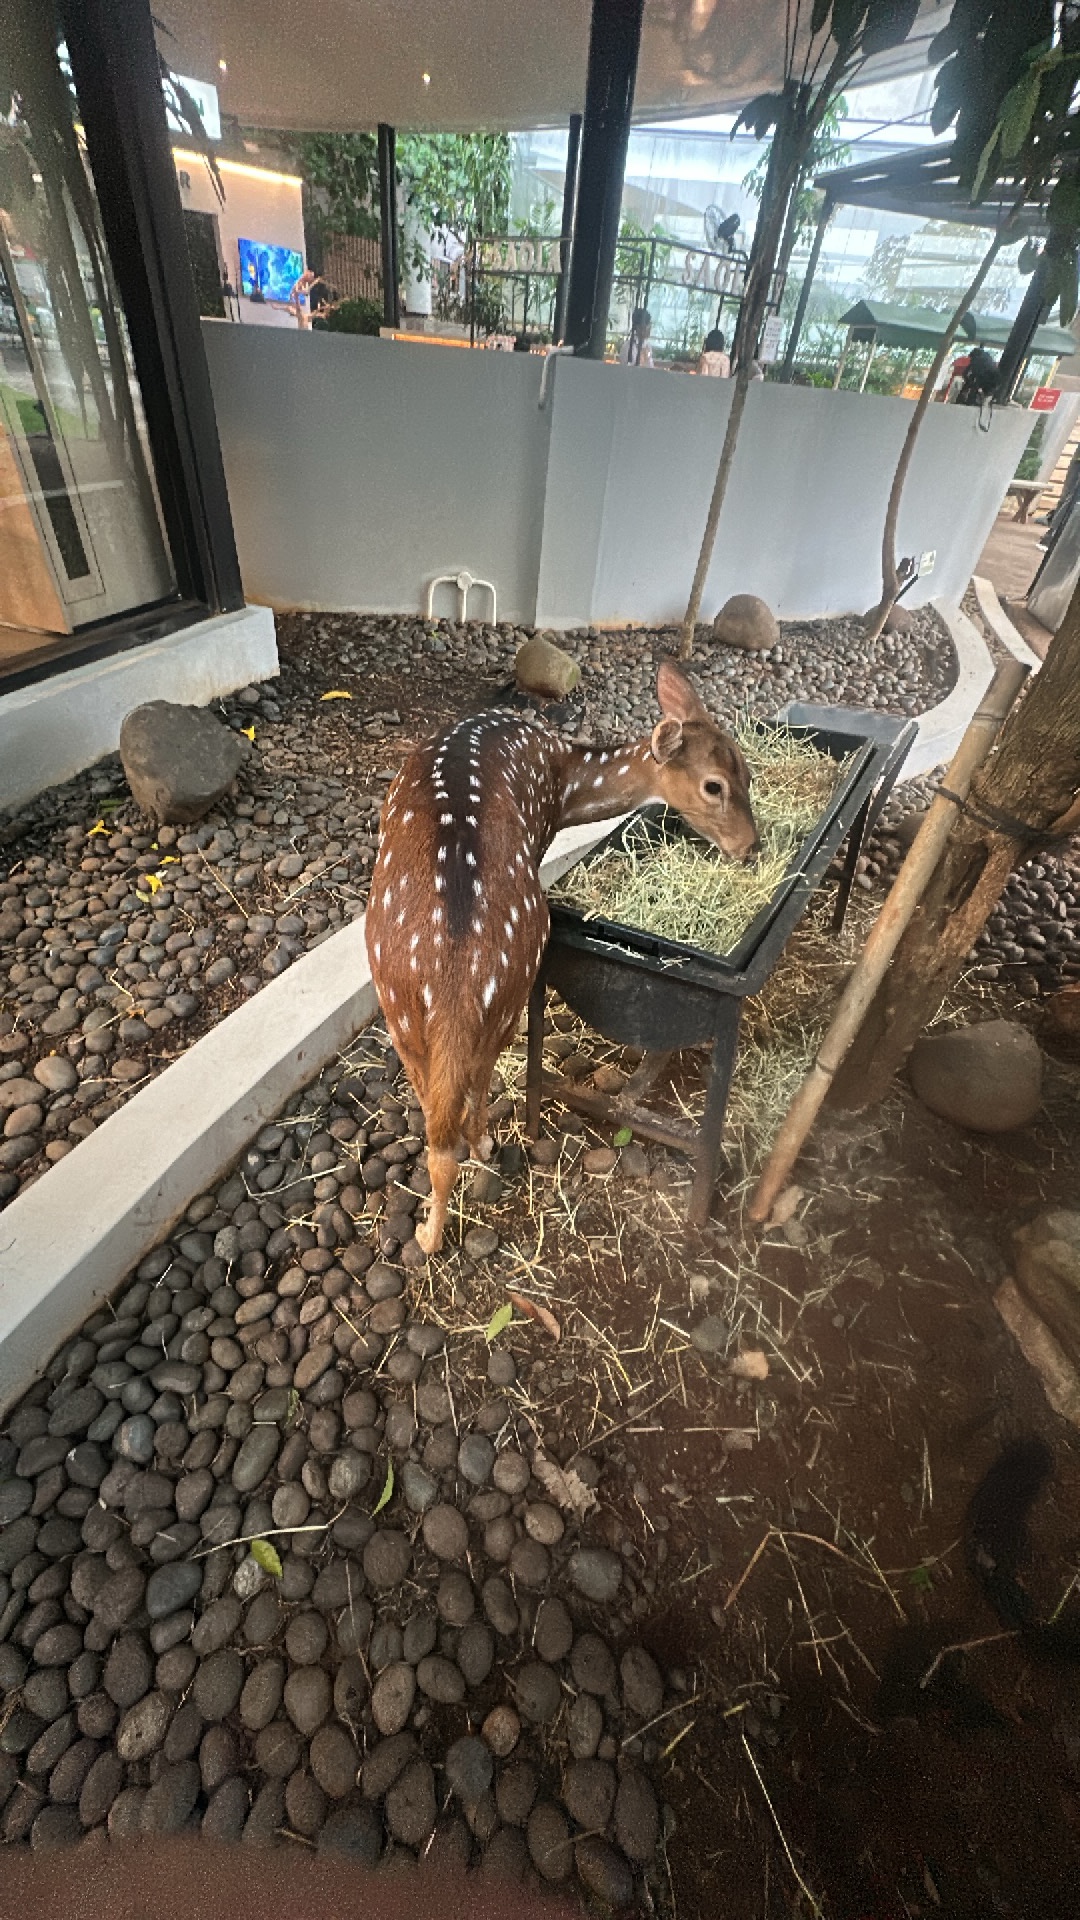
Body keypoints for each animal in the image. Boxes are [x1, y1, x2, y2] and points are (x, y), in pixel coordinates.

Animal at [365, 658, 759, 1256]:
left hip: (400, 1004)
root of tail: (453, 976)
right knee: (470, 1094)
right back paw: (480, 1158)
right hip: (506, 985)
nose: (751, 846)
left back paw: (429, 1233)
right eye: (715, 784)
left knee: (438, 1120)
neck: (565, 775)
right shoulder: (543, 826)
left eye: (747, 773)